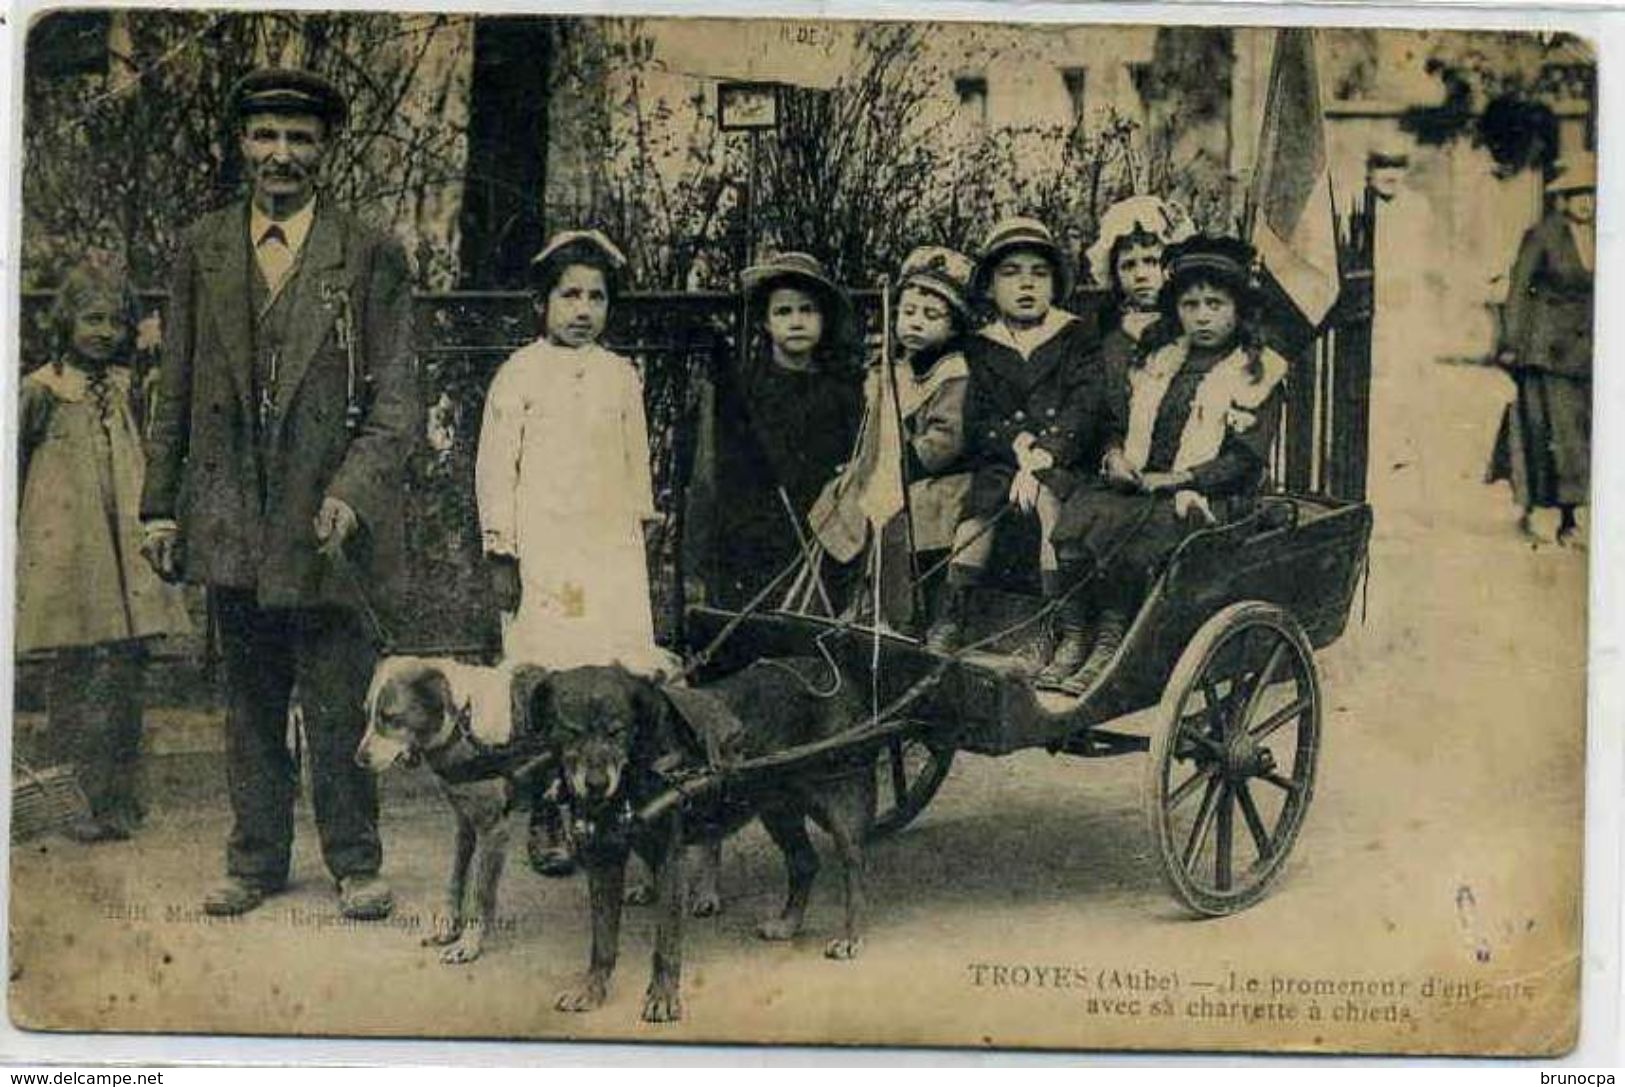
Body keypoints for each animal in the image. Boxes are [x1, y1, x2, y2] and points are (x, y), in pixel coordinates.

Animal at [533, 656, 877, 1020]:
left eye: (617, 731)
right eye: (570, 731)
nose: (596, 784)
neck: (639, 766)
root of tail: (837, 672)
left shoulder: (669, 860)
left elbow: (666, 940)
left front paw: (663, 996)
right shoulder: (602, 858)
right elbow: (602, 940)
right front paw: (591, 990)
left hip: (842, 798)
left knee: (855, 867)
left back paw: (852, 935)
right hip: (776, 806)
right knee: (805, 862)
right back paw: (789, 923)